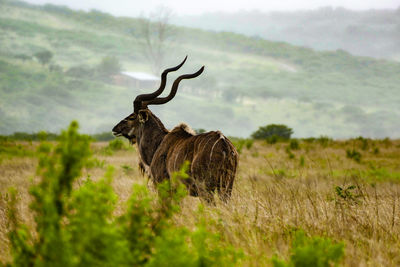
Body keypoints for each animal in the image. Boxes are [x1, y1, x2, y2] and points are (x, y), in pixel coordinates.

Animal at [112, 58, 238, 201]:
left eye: (132, 117)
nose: (115, 128)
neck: (159, 143)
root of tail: (225, 145)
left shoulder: (163, 185)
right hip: (227, 189)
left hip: (206, 190)